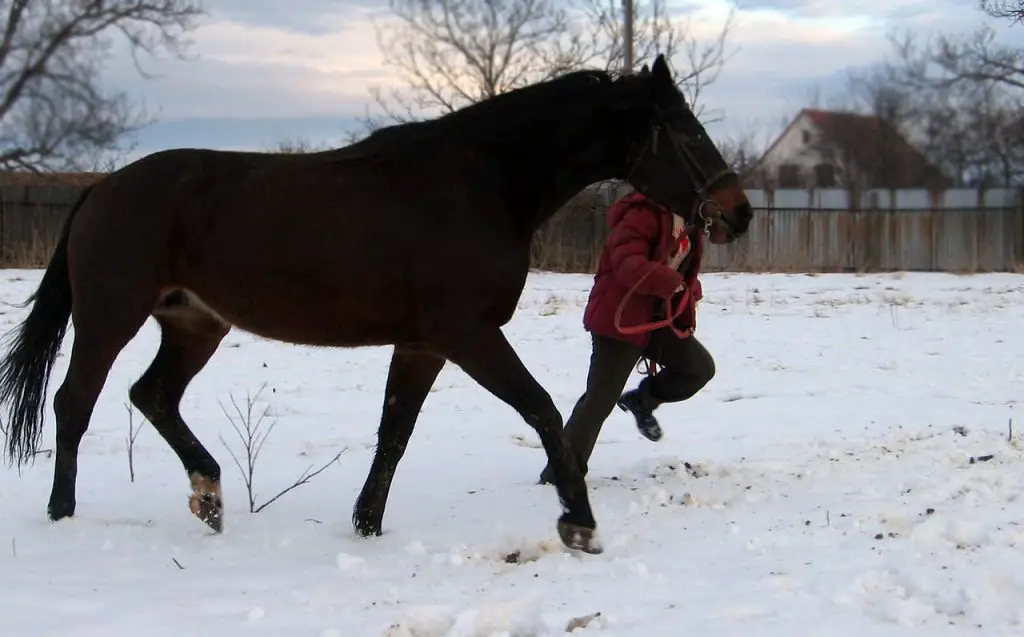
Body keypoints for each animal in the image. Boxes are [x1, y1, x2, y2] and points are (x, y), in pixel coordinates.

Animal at [0, 54, 753, 553]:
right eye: (687, 132)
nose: (737, 212)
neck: (482, 183)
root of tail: (100, 189)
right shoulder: (468, 333)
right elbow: (541, 408)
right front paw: (579, 521)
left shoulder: (422, 342)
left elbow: (395, 429)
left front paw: (366, 523)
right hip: (110, 317)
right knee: (75, 402)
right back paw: (63, 514)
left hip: (194, 323)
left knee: (152, 394)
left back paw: (209, 495)